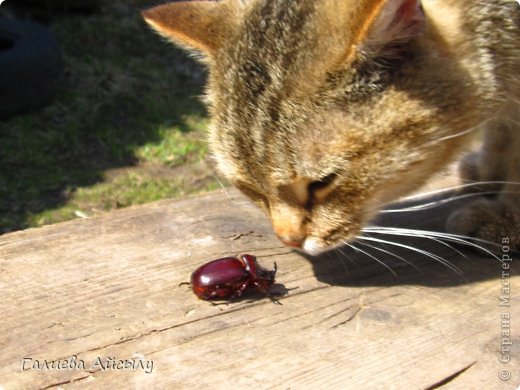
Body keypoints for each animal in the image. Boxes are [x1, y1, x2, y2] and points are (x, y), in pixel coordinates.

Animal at [142, 0, 520, 254]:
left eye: (322, 183)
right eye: (249, 189)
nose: (289, 240)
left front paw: (507, 217)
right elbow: (503, 134)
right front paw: (490, 174)